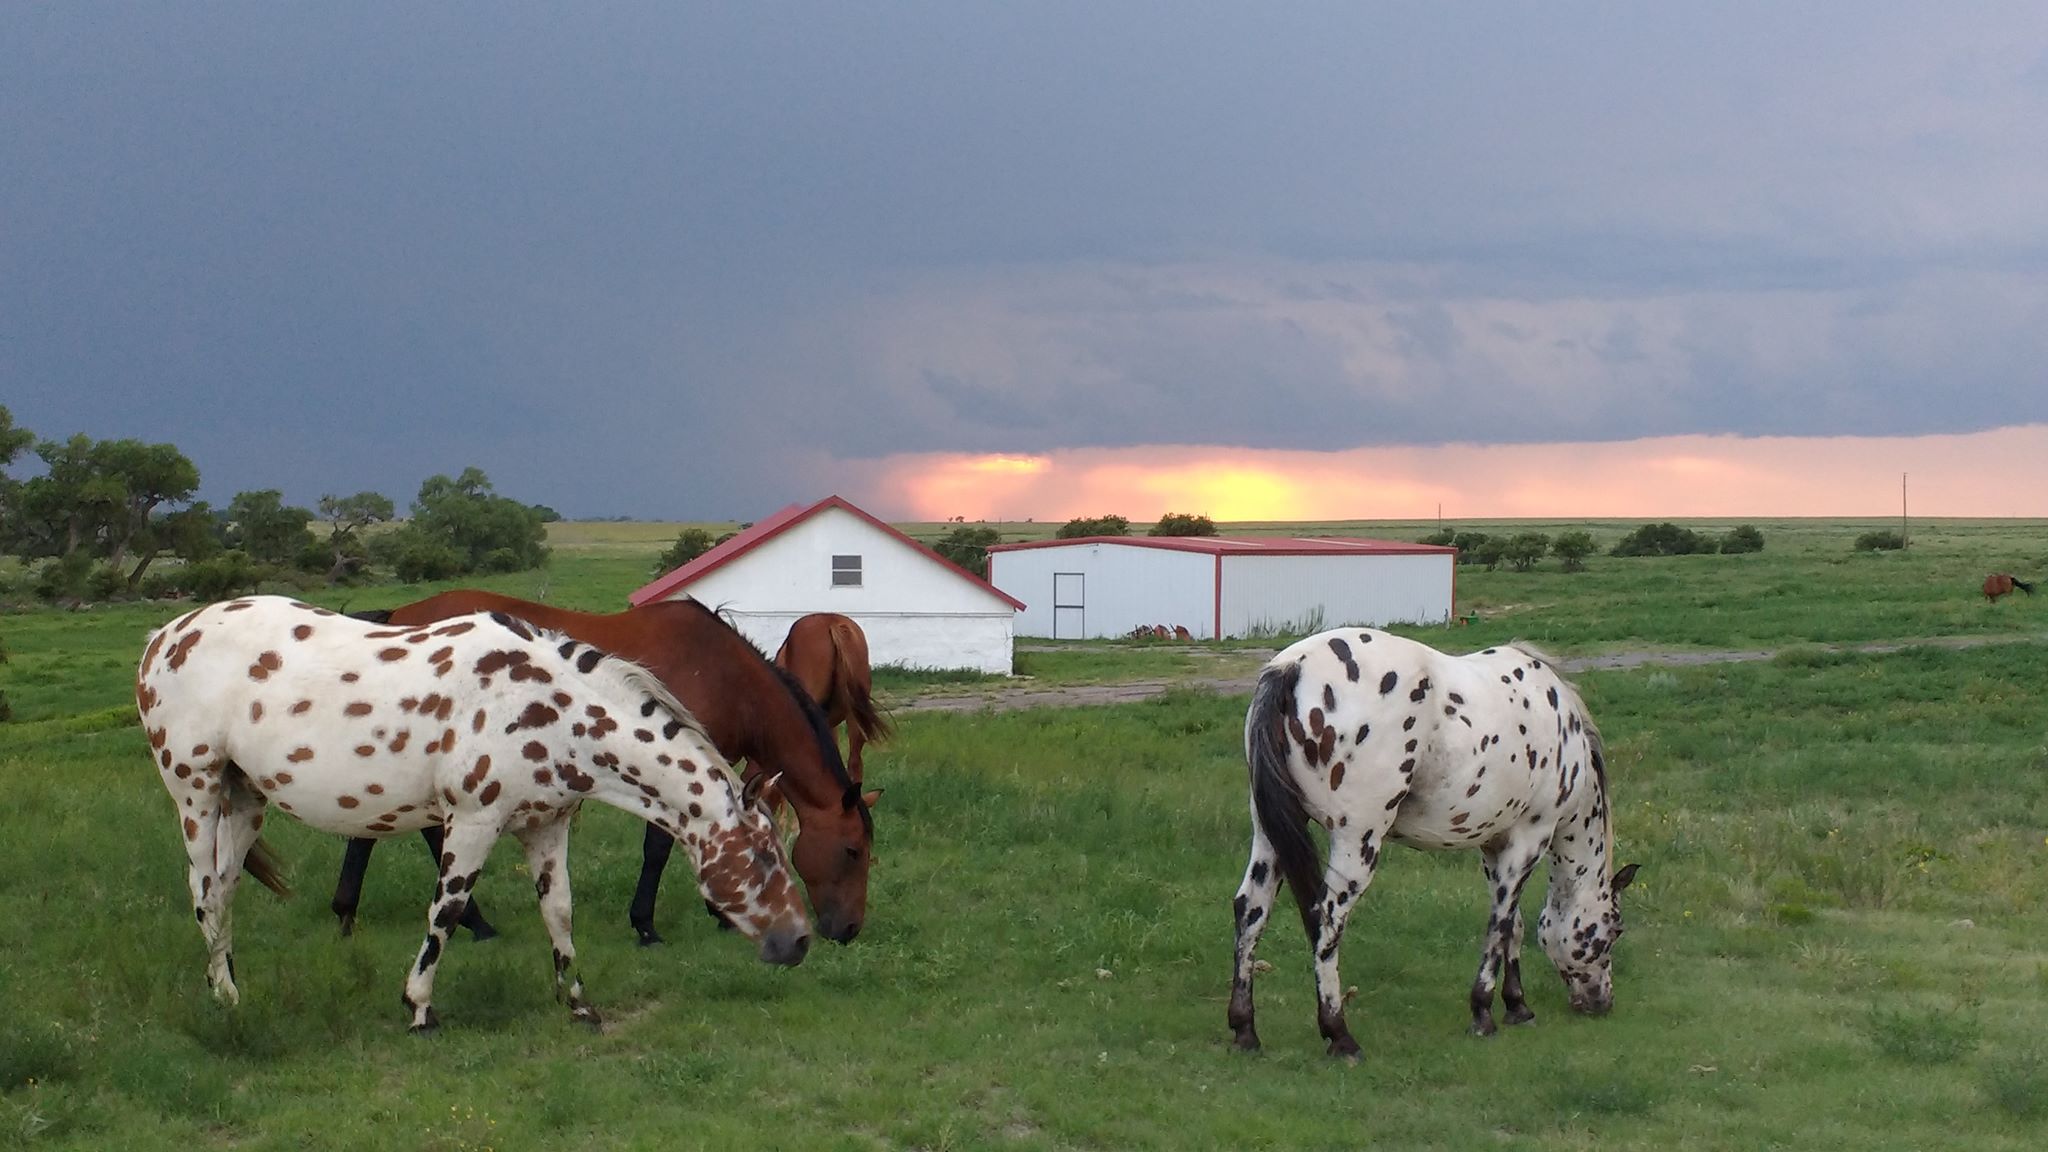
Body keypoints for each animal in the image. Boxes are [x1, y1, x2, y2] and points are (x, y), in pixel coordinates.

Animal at [136, 596, 809, 1032]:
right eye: (763, 857)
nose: (801, 940)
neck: (546, 706)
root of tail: (164, 637)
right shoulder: (474, 822)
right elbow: (447, 909)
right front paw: (418, 1006)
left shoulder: (547, 826)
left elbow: (559, 913)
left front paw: (577, 1003)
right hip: (196, 792)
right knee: (202, 891)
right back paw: (225, 999)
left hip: (245, 798)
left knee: (224, 892)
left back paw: (227, 981)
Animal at [1228, 629, 1637, 1057]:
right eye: (1614, 930)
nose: (1601, 1001)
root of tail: (1293, 668)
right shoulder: (1530, 838)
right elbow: (1500, 924)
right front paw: (1484, 1013)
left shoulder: (1494, 846)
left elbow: (1513, 923)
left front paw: (1517, 1005)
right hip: (1357, 839)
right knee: (1326, 918)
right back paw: (1340, 1035)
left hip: (1269, 834)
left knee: (1250, 910)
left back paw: (1245, 1031)